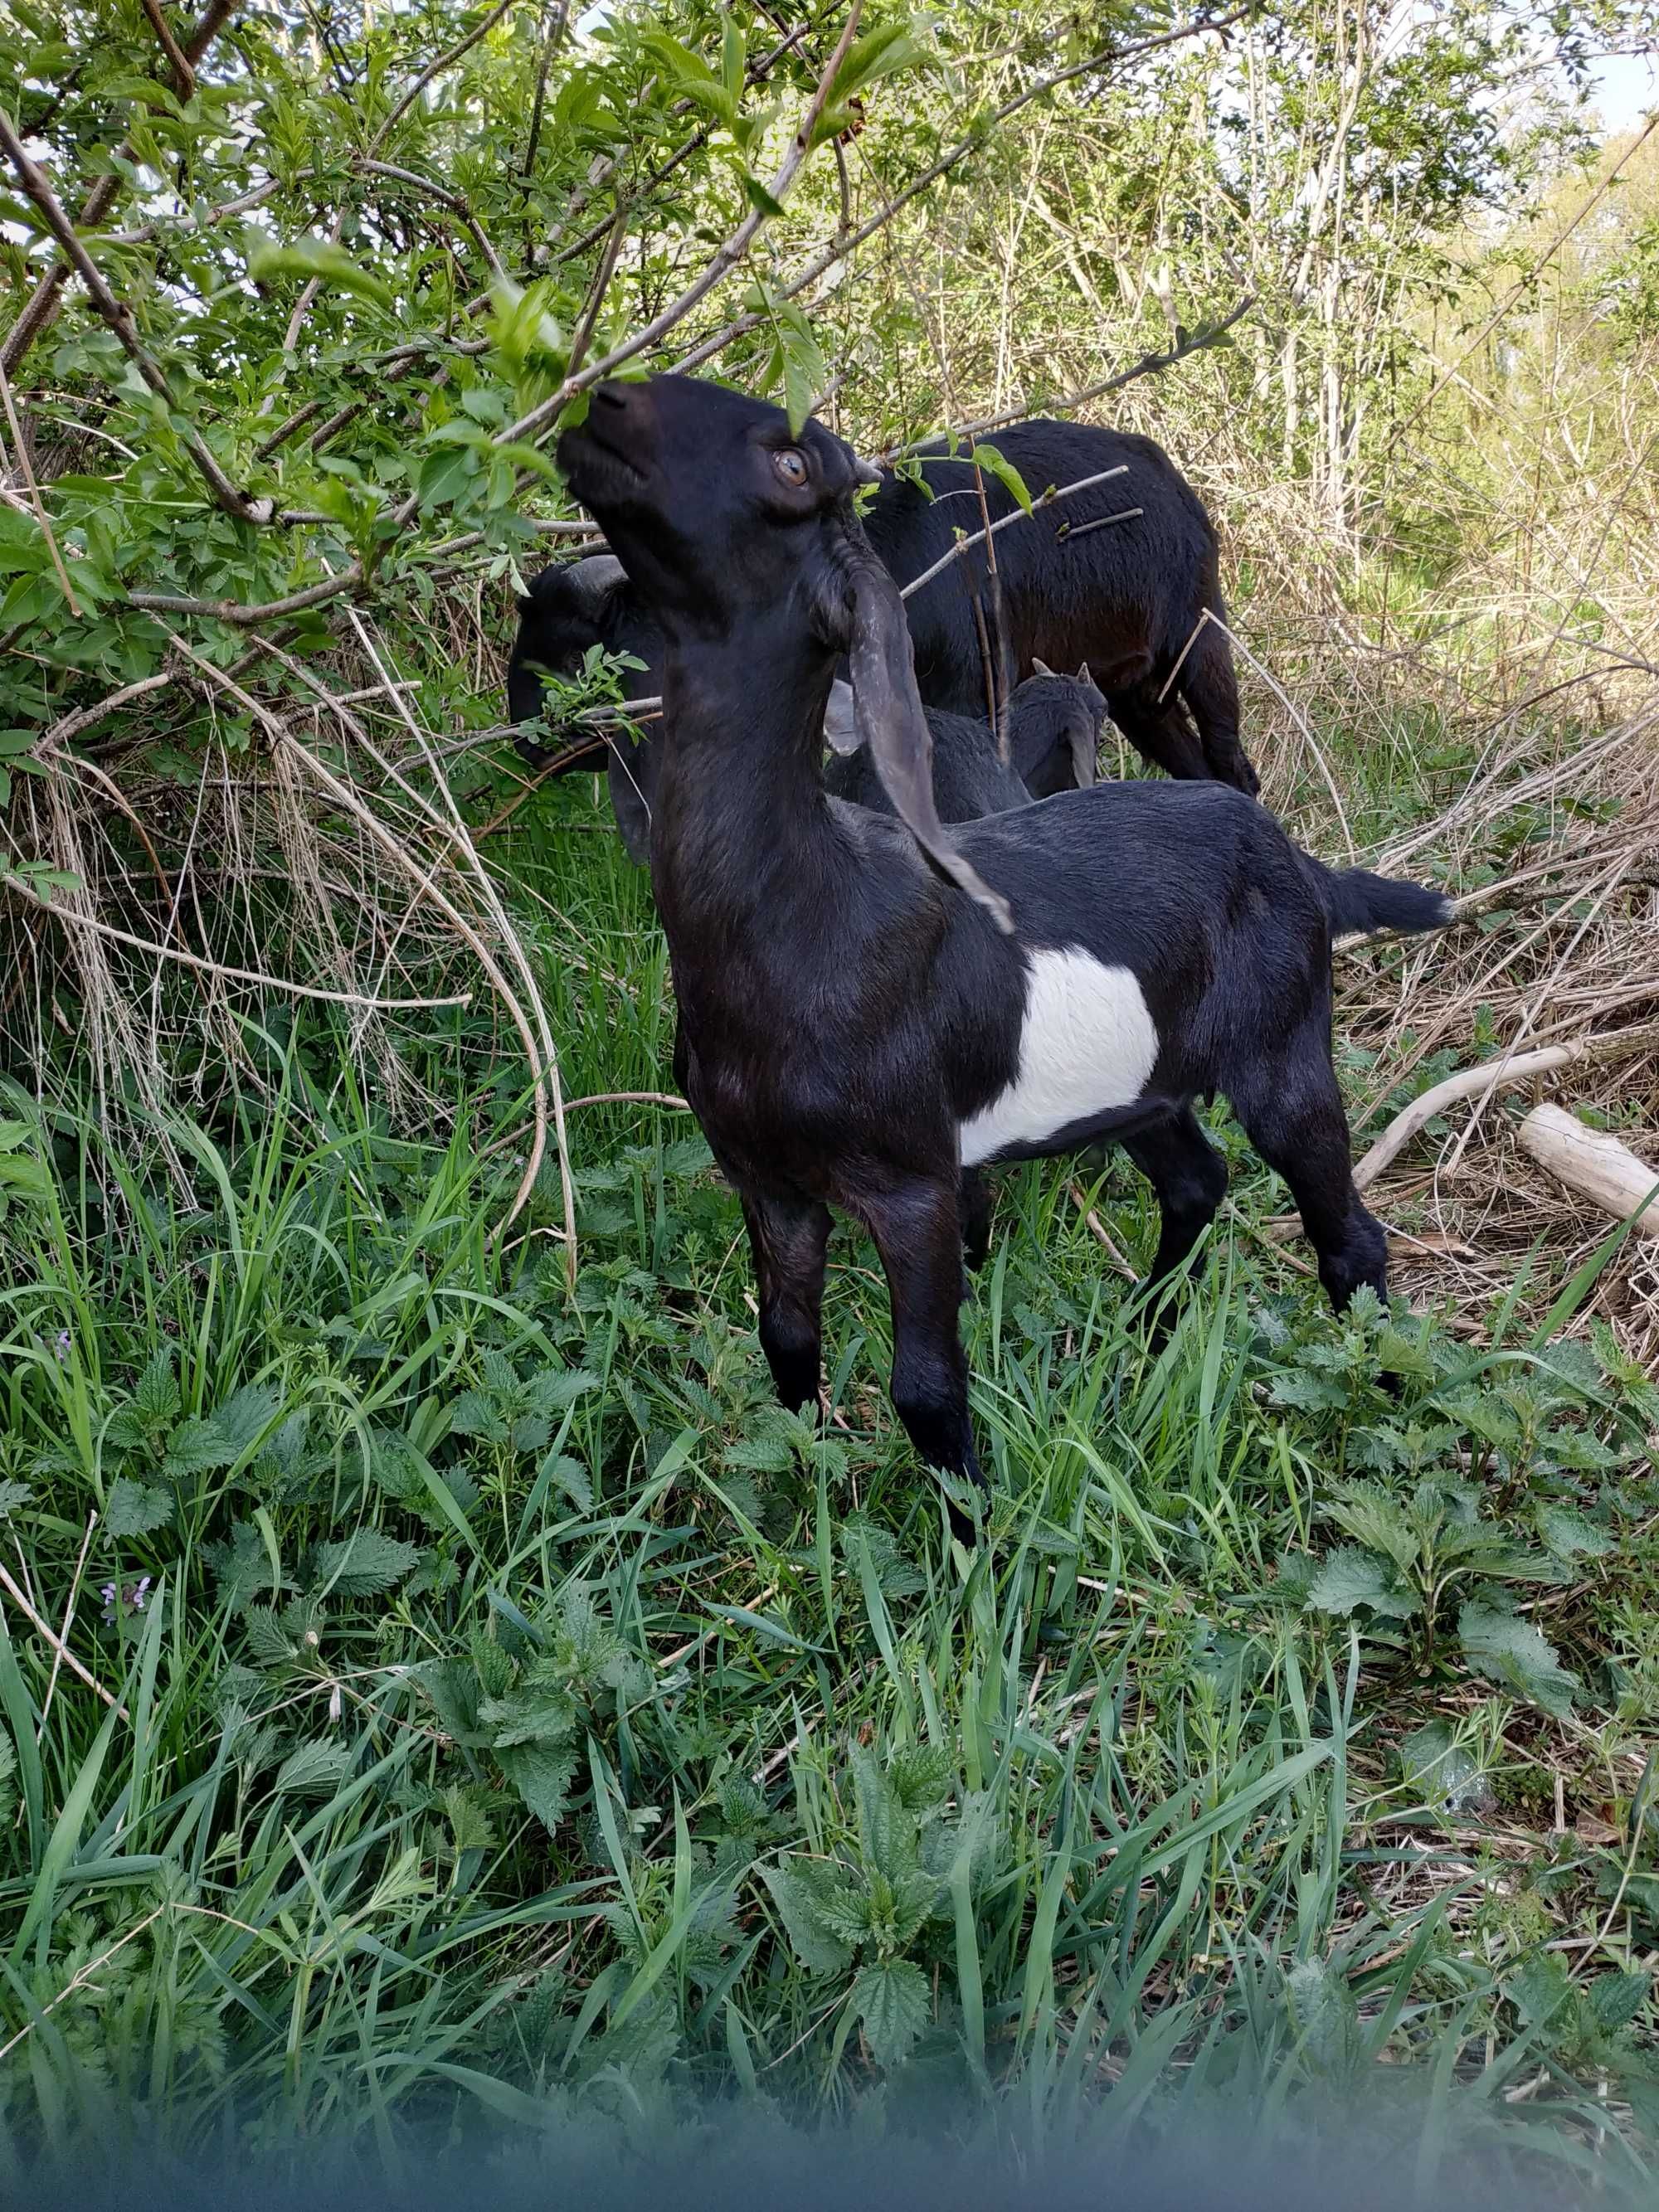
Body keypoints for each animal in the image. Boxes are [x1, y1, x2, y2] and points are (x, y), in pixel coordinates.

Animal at [513, 416, 1256, 853]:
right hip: (1138, 694)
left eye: (573, 651)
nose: (523, 737)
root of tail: (1172, 483)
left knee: (1232, 758)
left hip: (1201, 645)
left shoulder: (971, 704)